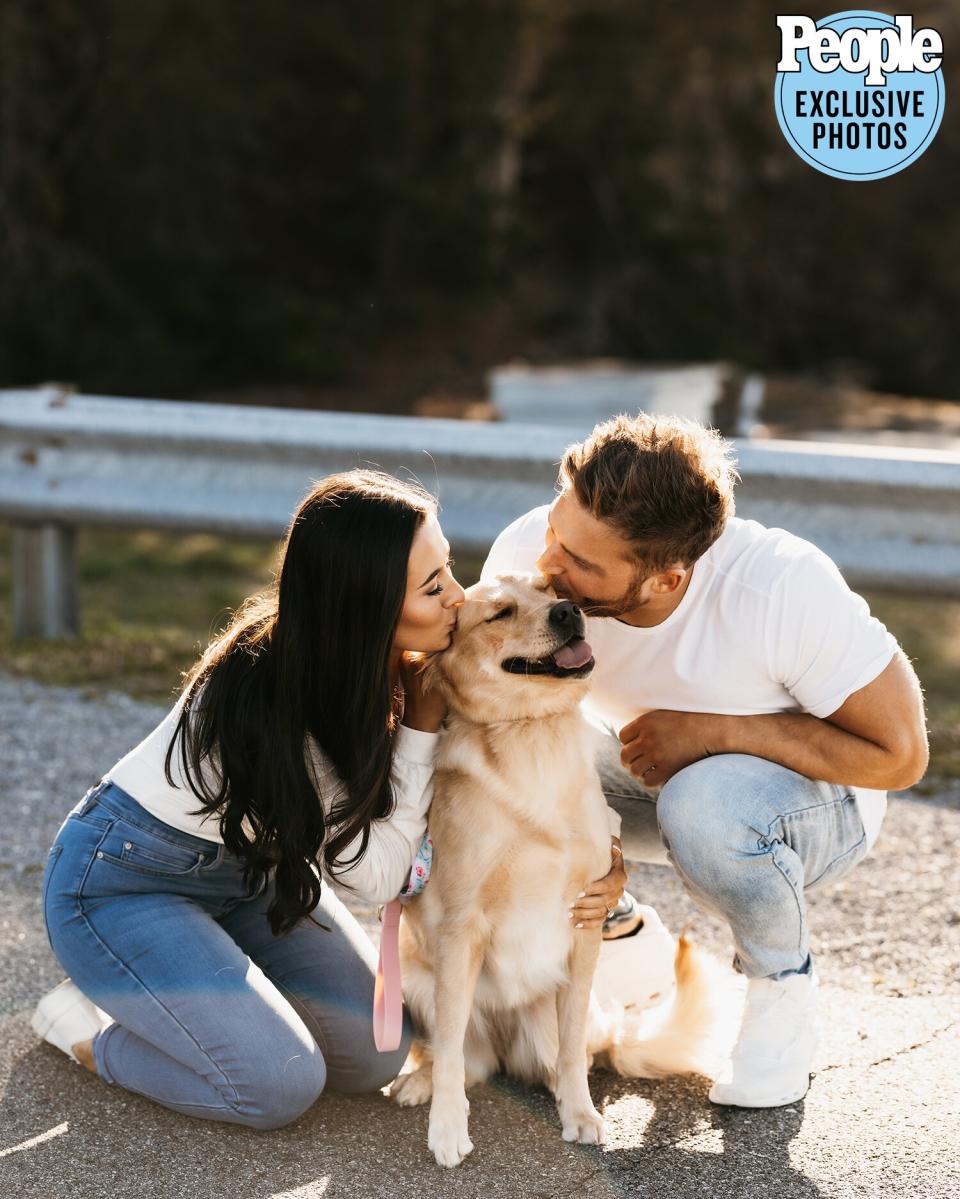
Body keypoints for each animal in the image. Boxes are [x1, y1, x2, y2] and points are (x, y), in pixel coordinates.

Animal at [388, 575, 728, 1165]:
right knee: (467, 1058)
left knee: (569, 1057)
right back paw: (421, 1081)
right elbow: (450, 1049)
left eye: (549, 589)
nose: (568, 612)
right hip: (416, 980)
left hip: (557, 1010)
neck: (530, 731)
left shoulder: (585, 924)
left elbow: (571, 1053)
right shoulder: (459, 928)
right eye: (500, 612)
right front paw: (447, 1128)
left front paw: (580, 1114)